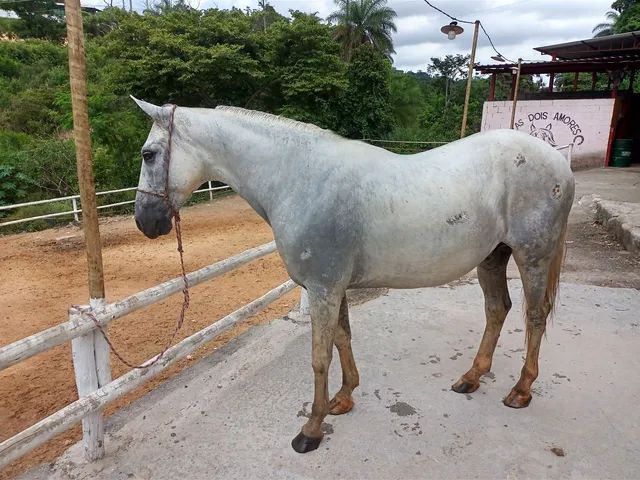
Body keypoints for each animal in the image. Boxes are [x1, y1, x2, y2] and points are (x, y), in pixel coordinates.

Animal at [132, 98, 572, 454]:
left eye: (148, 154)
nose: (145, 222)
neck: (300, 179)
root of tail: (558, 163)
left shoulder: (323, 288)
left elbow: (319, 357)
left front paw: (311, 429)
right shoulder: (332, 287)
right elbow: (343, 338)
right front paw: (343, 399)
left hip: (531, 257)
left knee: (534, 317)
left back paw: (520, 390)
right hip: (492, 258)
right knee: (497, 310)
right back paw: (471, 377)